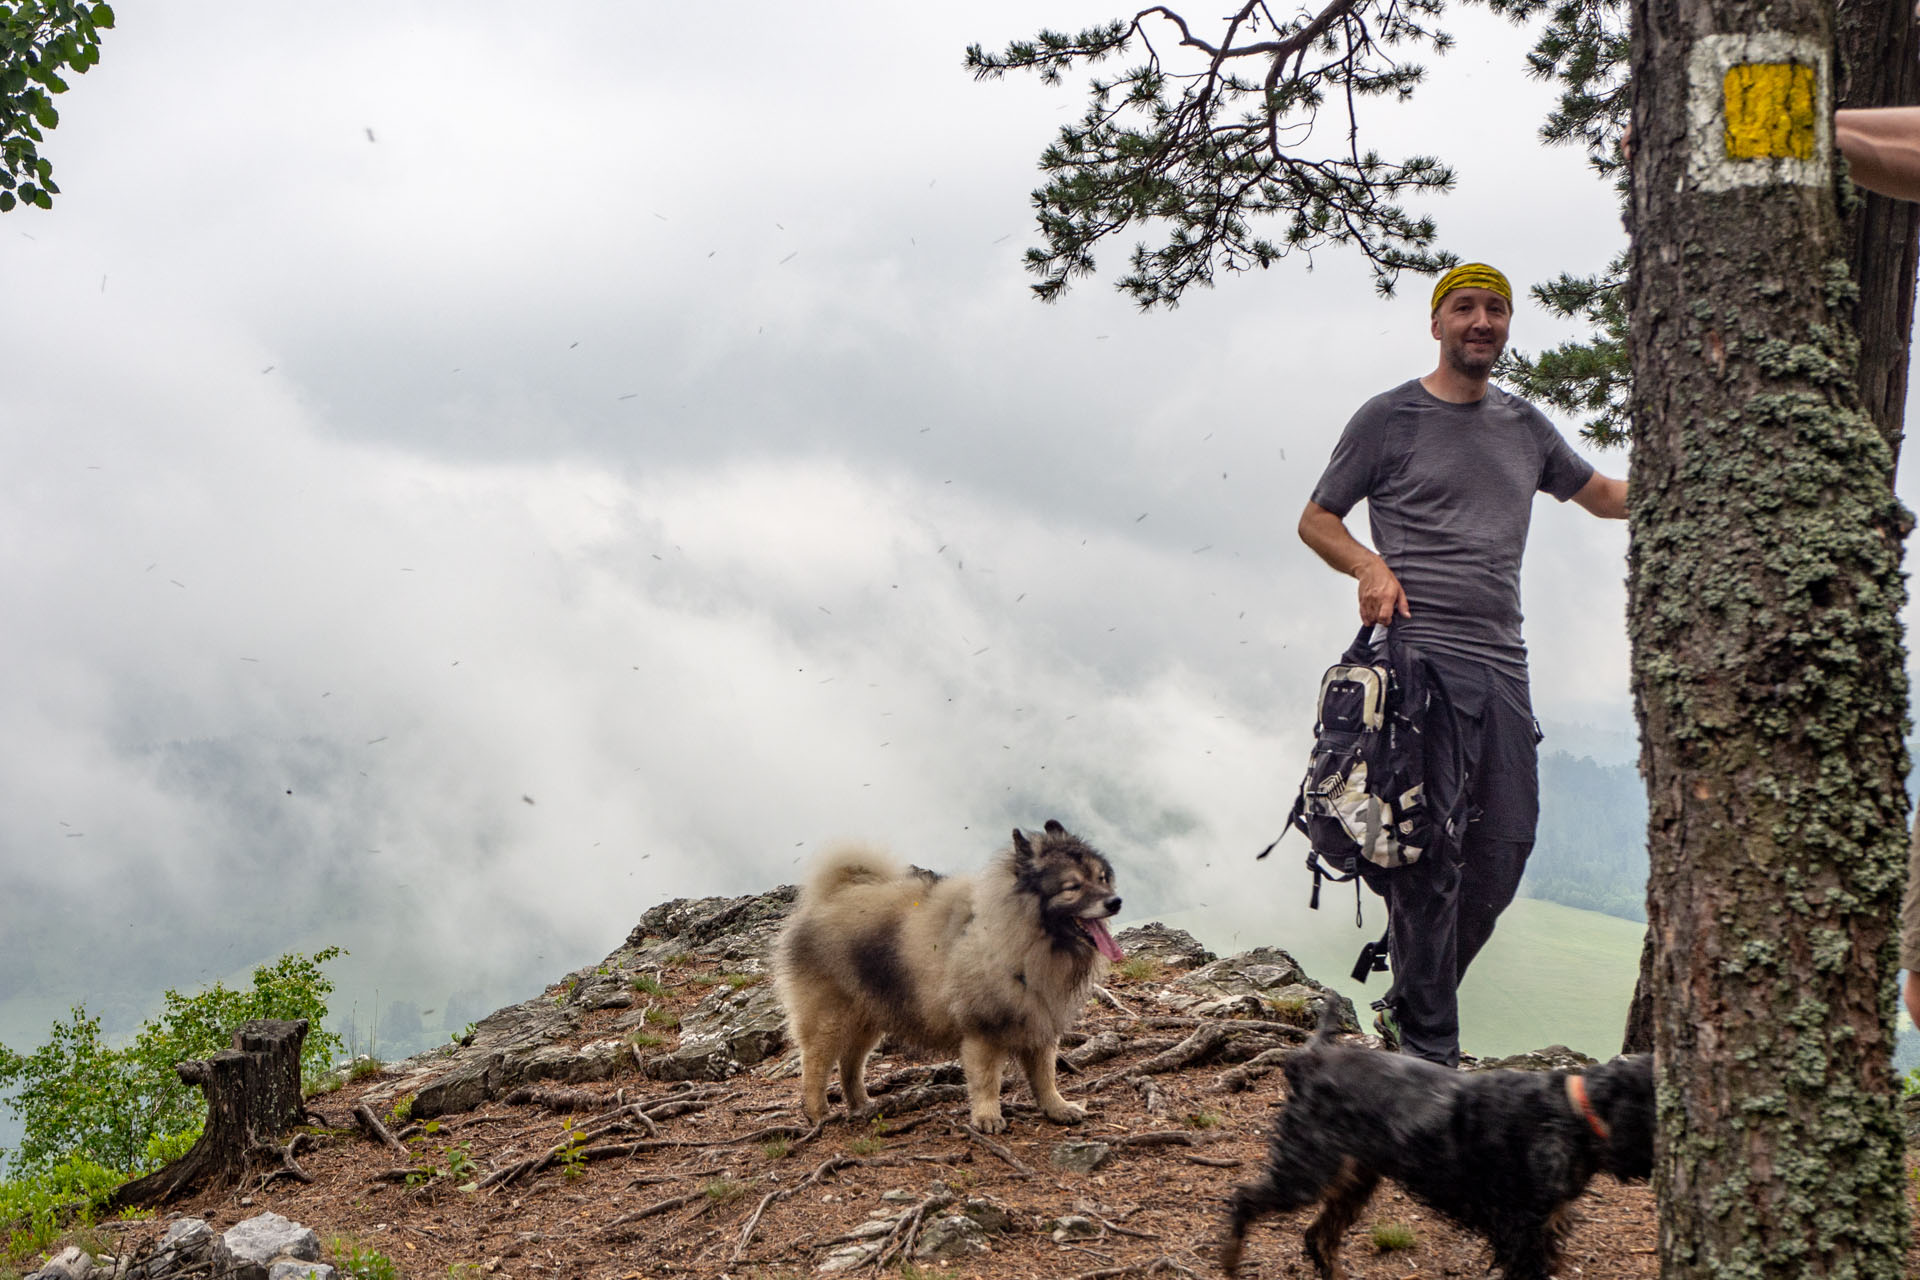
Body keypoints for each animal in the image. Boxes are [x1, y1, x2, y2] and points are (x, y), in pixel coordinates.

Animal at [1228, 1013, 1651, 1274]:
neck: (1574, 1112)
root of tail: (1310, 1057)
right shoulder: (1523, 1233)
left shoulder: (1546, 1228)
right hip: (1305, 1171)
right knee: (1243, 1199)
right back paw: (1229, 1262)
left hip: (1354, 1181)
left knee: (1318, 1238)